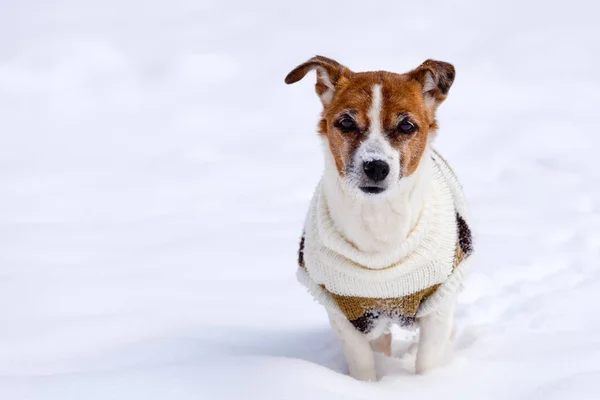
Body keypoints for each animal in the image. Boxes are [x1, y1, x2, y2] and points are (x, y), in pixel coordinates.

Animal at [286, 56, 474, 382]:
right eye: (346, 122)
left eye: (407, 125)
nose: (375, 167)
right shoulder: (346, 311)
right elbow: (362, 364)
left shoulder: (437, 305)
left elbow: (428, 360)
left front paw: (426, 385)